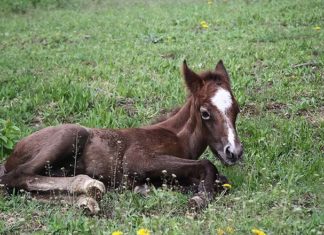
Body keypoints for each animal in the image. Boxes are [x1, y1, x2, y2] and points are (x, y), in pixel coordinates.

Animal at [0, 60, 243, 213]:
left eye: (237, 109)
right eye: (205, 113)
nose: (234, 152)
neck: (177, 136)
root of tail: (13, 152)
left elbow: (221, 180)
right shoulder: (136, 160)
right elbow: (207, 165)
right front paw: (199, 197)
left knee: (22, 189)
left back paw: (87, 201)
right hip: (72, 133)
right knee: (16, 177)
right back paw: (88, 185)